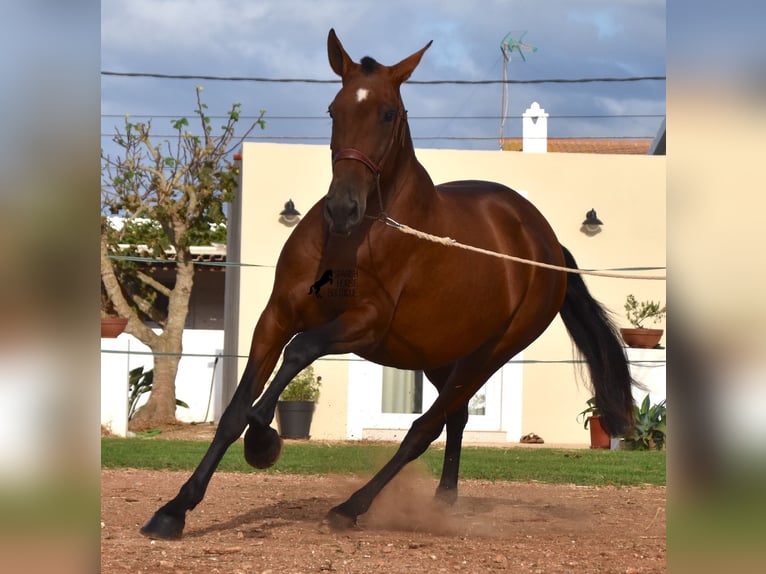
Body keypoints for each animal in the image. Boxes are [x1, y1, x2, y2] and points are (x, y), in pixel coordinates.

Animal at [140, 27, 636, 540]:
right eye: (334, 109)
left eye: (388, 113)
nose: (343, 208)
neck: (352, 241)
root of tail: (547, 244)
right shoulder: (276, 315)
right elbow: (235, 410)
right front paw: (175, 509)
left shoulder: (365, 324)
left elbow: (298, 353)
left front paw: (264, 441)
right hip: (439, 354)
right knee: (454, 417)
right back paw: (442, 502)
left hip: (490, 354)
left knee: (424, 429)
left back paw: (352, 507)